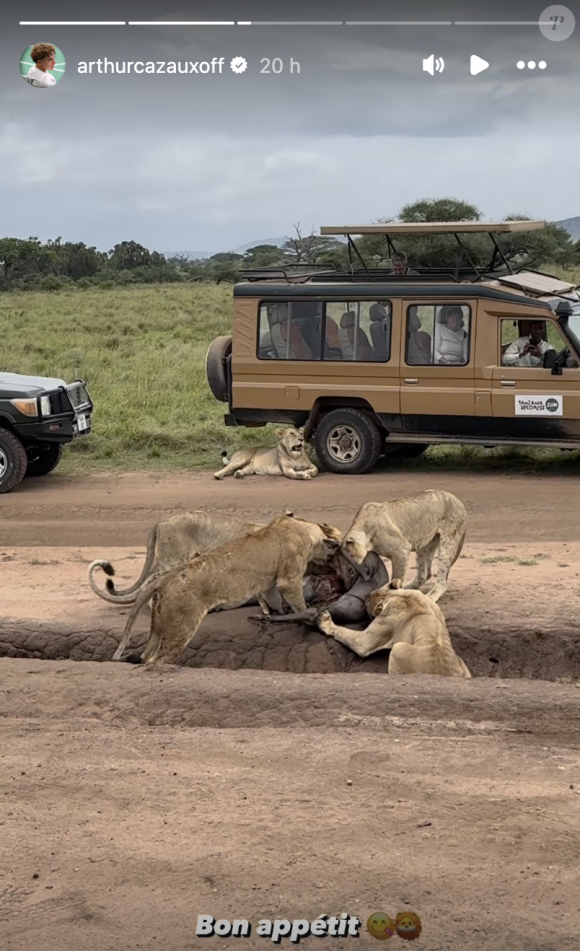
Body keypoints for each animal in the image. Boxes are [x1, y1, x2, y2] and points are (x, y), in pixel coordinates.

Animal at [114, 516, 340, 664]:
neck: (305, 528)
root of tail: (163, 581)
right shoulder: (289, 578)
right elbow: (298, 602)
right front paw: (306, 617)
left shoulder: (270, 585)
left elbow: (274, 601)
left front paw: (278, 614)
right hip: (180, 629)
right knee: (156, 661)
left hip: (158, 630)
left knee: (145, 656)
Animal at [318, 580, 472, 676]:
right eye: (370, 594)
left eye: (367, 600)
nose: (365, 598)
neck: (396, 596)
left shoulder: (365, 642)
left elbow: (343, 632)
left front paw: (324, 621)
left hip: (398, 648)